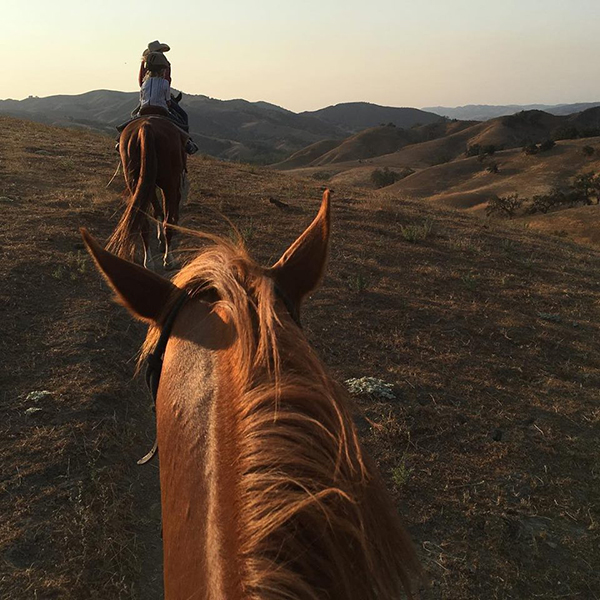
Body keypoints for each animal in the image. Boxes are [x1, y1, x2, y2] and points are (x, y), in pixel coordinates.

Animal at [109, 115, 189, 270]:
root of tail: (146, 127)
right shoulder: (173, 186)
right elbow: (166, 212)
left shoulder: (148, 185)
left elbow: (156, 211)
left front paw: (159, 239)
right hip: (169, 184)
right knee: (167, 221)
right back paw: (168, 259)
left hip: (135, 182)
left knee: (143, 222)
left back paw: (149, 261)